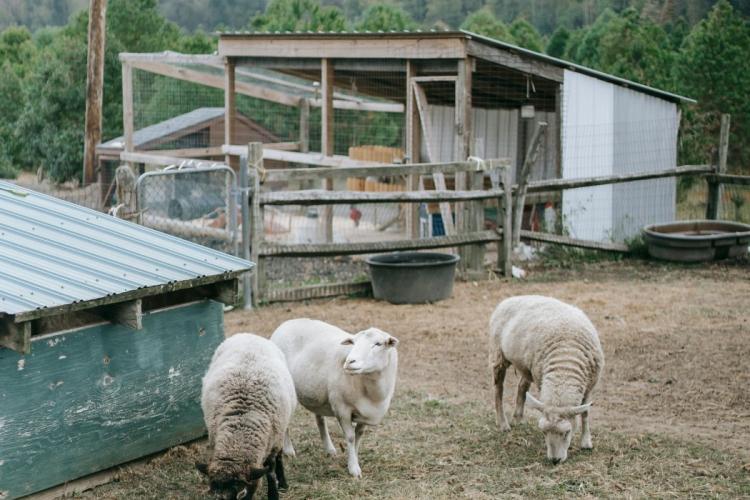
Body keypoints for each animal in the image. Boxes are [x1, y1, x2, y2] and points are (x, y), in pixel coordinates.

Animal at [198, 332, 298, 500]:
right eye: (214, 494)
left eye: (241, 492)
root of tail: (249, 335)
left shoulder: (272, 443)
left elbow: (270, 473)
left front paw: (274, 493)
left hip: (280, 431)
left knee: (279, 456)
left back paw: (283, 483)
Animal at [270, 318, 400, 478]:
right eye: (353, 343)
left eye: (378, 344)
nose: (349, 361)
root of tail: (287, 322)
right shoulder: (341, 408)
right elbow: (350, 437)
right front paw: (353, 468)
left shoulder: (365, 413)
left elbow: (358, 436)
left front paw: (354, 458)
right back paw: (289, 450)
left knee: (320, 419)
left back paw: (329, 449)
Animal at [490, 294, 608, 462]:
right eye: (544, 432)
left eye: (567, 432)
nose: (554, 460)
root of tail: (511, 298)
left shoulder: (590, 386)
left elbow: (585, 413)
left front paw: (586, 442)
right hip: (499, 355)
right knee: (498, 389)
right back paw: (503, 424)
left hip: (528, 367)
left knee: (522, 386)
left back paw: (518, 418)